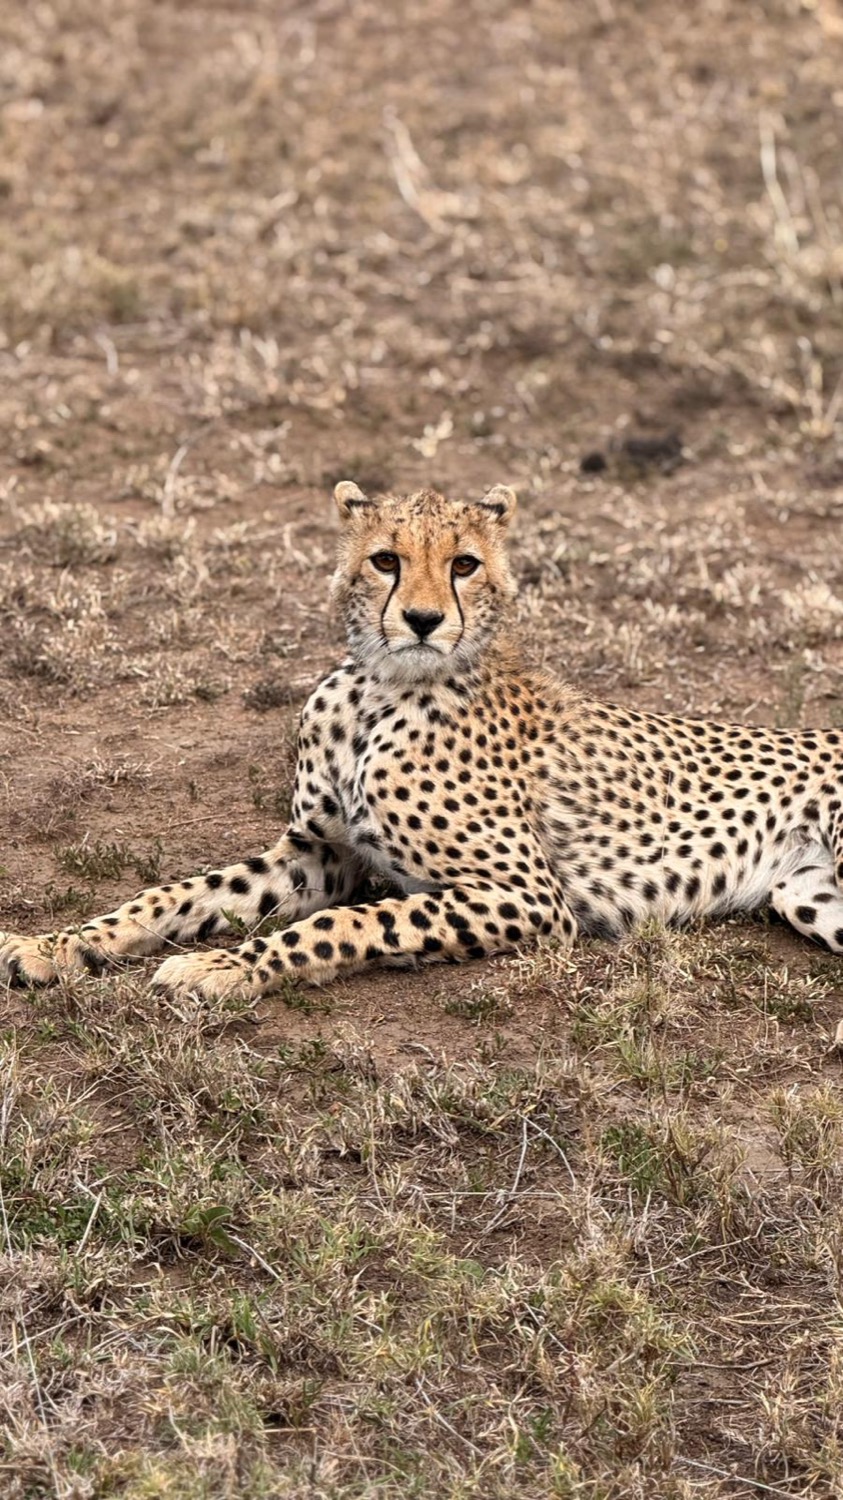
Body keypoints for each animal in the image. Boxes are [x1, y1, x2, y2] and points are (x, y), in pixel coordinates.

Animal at [2, 479, 843, 1003]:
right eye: (386, 560)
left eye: (464, 564)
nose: (422, 619)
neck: (379, 694)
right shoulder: (316, 854)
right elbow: (175, 893)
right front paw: (58, 944)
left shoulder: (526, 896)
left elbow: (340, 925)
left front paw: (221, 966)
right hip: (807, 894)